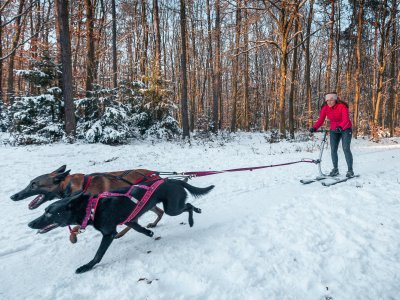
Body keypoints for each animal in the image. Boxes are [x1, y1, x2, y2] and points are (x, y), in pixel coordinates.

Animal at [27, 179, 216, 274]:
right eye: (45, 210)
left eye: (50, 213)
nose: (30, 224)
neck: (92, 208)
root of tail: (176, 180)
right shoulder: (130, 219)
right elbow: (139, 228)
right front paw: (149, 232)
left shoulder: (108, 233)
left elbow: (98, 255)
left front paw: (86, 267)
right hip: (171, 207)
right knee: (188, 205)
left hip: (172, 208)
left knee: (189, 206)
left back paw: (193, 218)